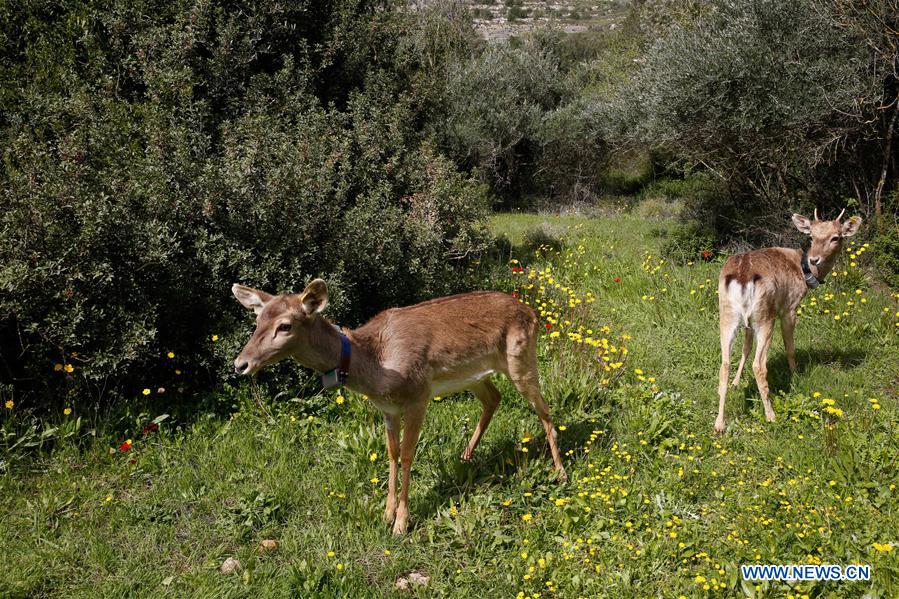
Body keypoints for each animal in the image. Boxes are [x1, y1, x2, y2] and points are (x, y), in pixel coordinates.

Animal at [234, 282, 568, 536]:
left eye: (285, 326)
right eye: (257, 321)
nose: (240, 364)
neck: (376, 367)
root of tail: (532, 312)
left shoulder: (419, 395)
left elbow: (407, 454)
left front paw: (401, 523)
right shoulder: (388, 409)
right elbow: (392, 453)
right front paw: (386, 512)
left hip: (521, 357)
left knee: (545, 410)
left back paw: (560, 472)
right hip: (474, 375)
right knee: (493, 399)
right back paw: (466, 456)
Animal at [716, 209, 864, 434]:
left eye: (835, 237)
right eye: (811, 236)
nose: (815, 259)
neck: (802, 270)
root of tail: (742, 276)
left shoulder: (748, 323)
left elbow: (745, 348)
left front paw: (736, 382)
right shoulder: (790, 307)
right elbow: (790, 347)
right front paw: (795, 374)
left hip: (728, 314)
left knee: (724, 364)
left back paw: (719, 424)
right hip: (765, 315)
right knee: (759, 365)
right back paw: (771, 416)